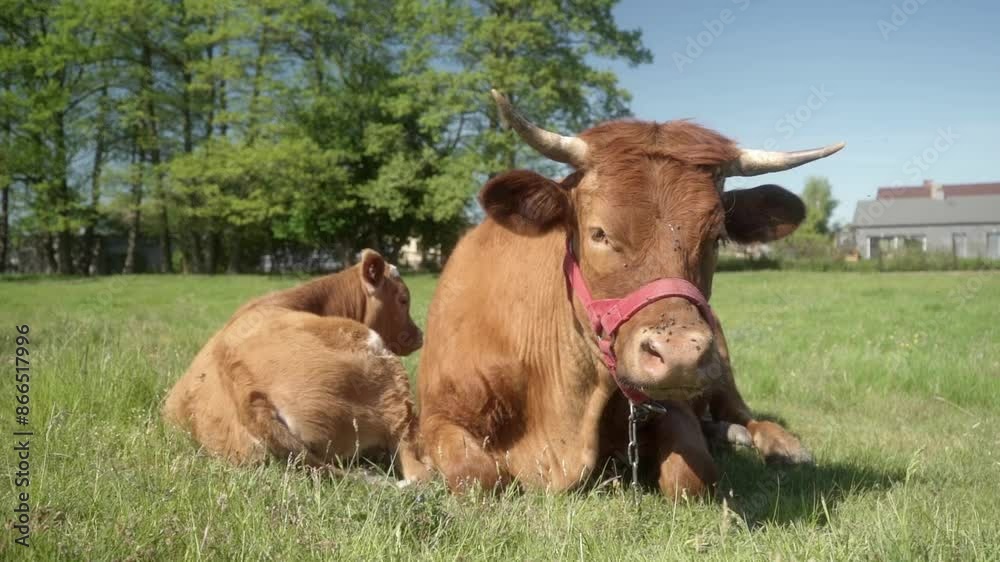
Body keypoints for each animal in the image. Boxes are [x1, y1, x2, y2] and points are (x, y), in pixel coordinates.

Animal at [416, 90, 844, 497]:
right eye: (599, 233)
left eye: (717, 237)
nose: (679, 354)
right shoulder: (437, 416)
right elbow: (476, 473)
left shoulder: (671, 403)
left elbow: (692, 475)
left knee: (741, 411)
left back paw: (779, 444)